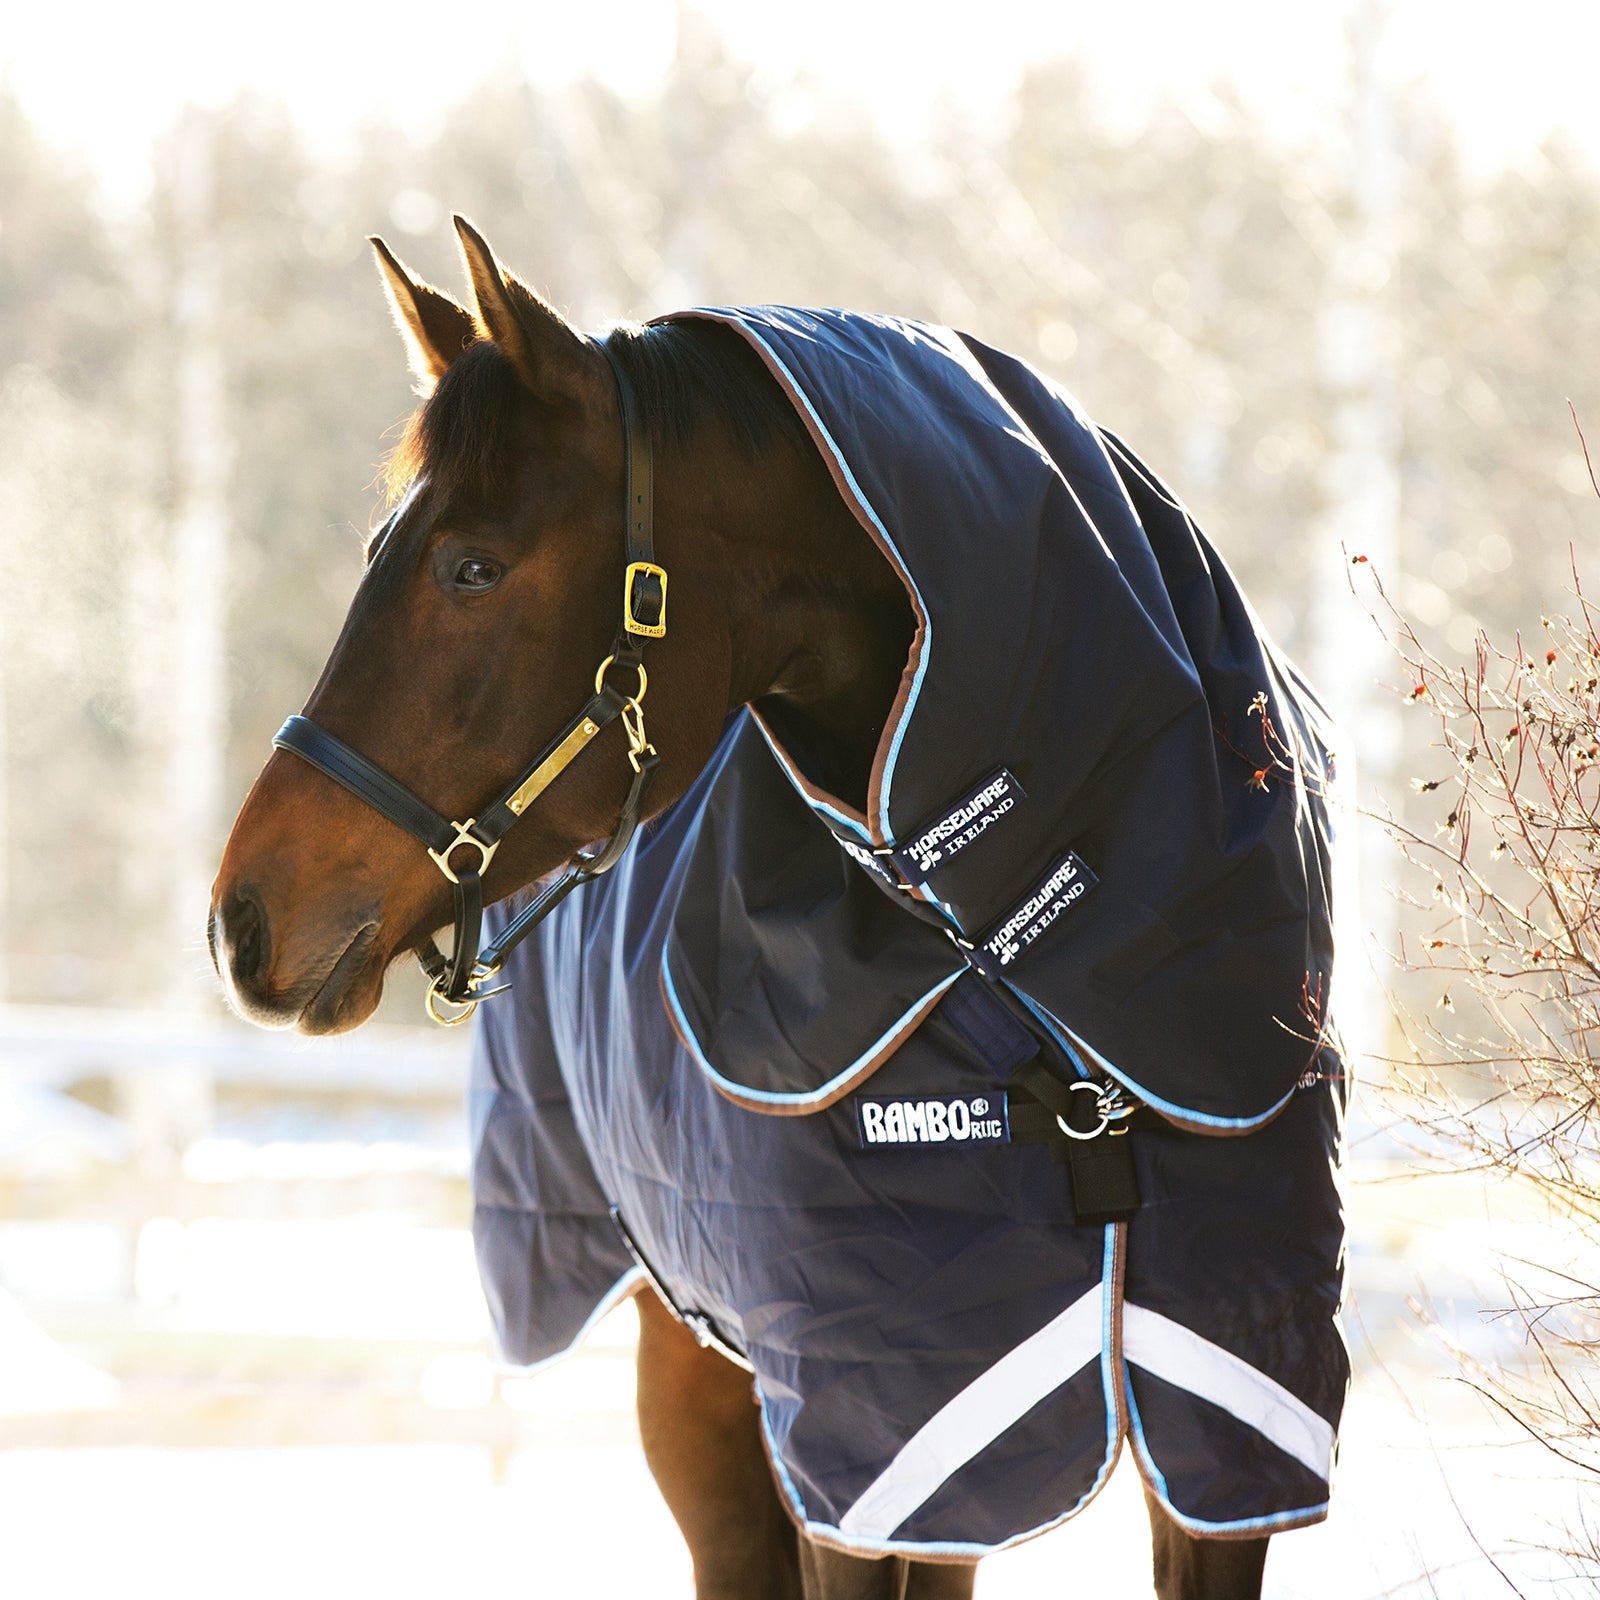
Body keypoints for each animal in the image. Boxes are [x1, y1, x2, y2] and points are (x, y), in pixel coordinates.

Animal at [212, 216, 1345, 1599]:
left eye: (470, 566)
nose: (243, 916)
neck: (1019, 956)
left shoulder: (1229, 1419)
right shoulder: (866, 1439)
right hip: (697, 1379)